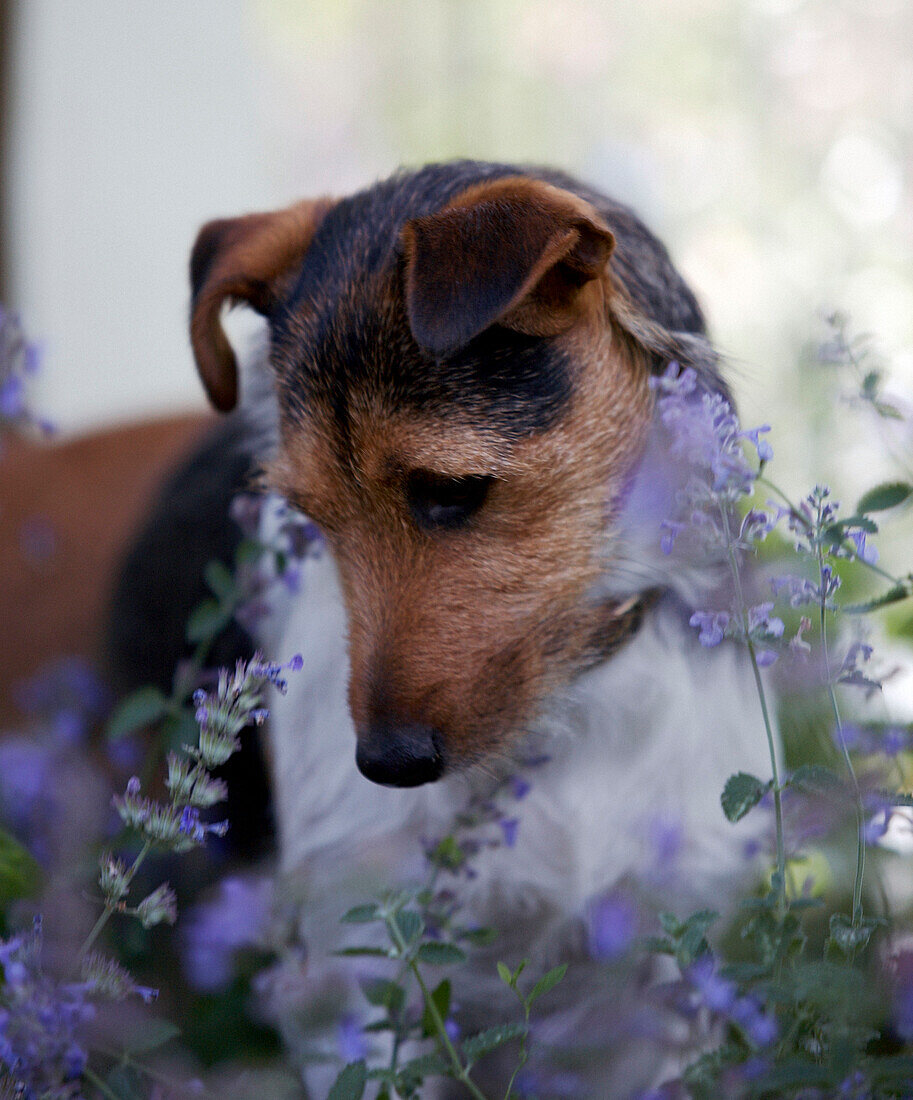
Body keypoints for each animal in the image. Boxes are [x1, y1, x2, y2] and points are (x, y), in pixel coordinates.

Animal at [112, 160, 774, 1091]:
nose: (388, 766)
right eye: (309, 517)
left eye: (453, 490)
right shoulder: (356, 969)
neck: (573, 707)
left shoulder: (667, 980)